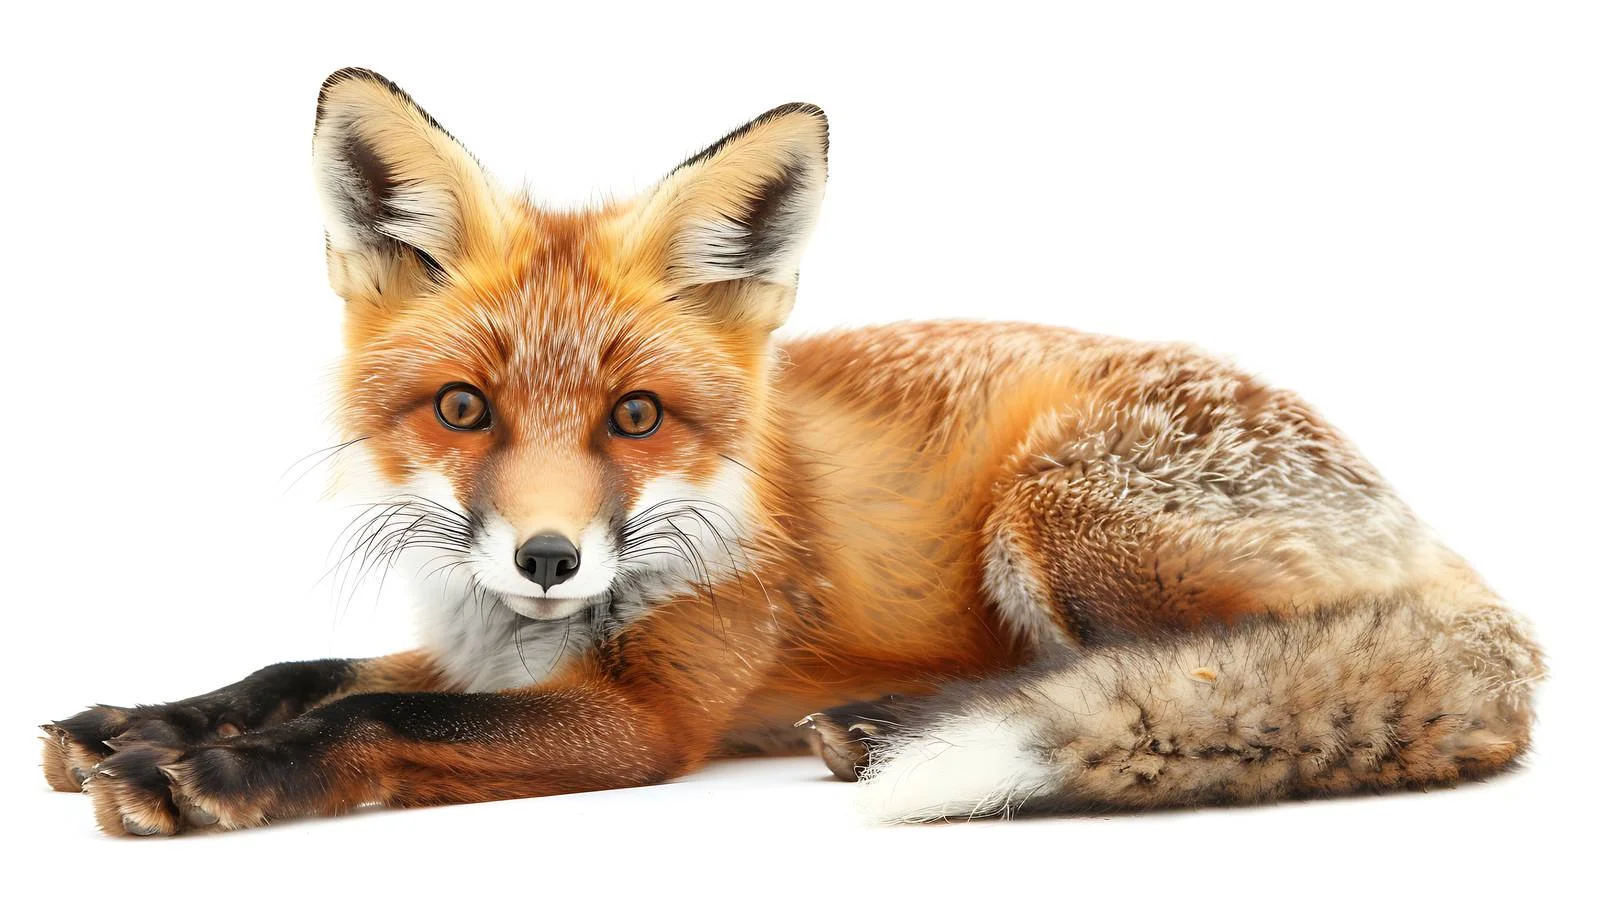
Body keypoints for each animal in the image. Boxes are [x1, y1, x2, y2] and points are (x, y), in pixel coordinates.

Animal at [41, 68, 1543, 836]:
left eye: (635, 416)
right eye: (463, 411)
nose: (546, 559)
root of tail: (1470, 580)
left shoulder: (642, 717)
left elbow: (370, 718)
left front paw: (215, 774)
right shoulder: (479, 647)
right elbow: (291, 672)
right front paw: (143, 724)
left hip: (1058, 506)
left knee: (1219, 670)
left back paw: (901, 727)